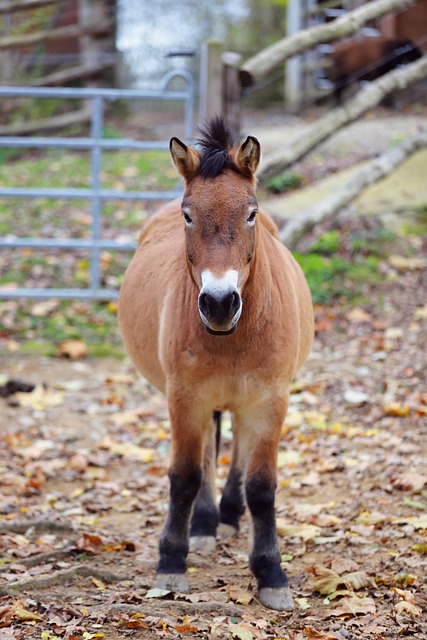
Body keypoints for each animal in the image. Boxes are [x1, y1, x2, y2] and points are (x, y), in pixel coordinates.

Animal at [118, 117, 316, 612]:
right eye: (188, 215)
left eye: (250, 213)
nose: (220, 303)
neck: (233, 336)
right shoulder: (184, 397)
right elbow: (185, 476)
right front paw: (171, 563)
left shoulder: (269, 400)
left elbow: (261, 486)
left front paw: (271, 573)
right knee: (208, 450)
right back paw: (206, 522)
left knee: (237, 453)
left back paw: (226, 516)